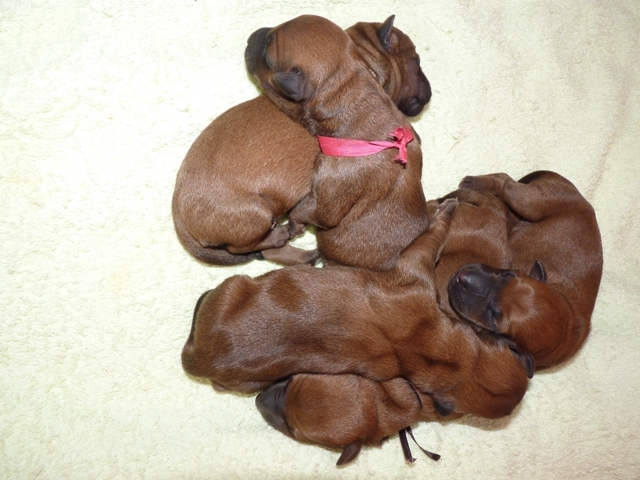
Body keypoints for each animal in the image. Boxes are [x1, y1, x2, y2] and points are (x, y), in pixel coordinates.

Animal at [172, 16, 431, 266]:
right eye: (417, 60)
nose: (252, 36)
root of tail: (178, 215)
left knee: (266, 252)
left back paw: (303, 255)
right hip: (256, 213)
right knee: (243, 247)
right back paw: (282, 238)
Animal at [449, 171, 603, 368]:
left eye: (493, 319)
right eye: (509, 274)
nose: (462, 276)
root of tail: (579, 196)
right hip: (531, 202)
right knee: (505, 181)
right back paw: (474, 182)